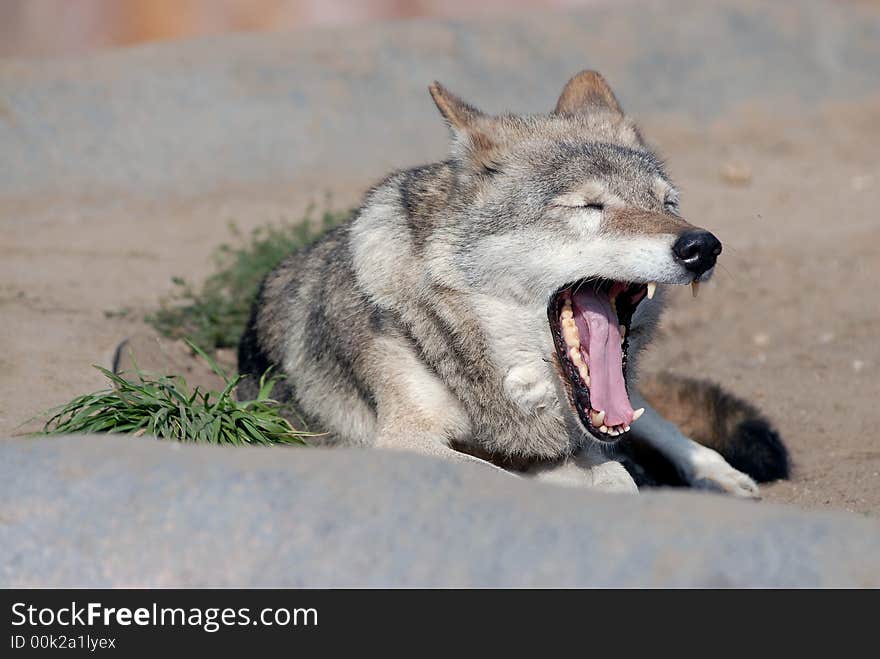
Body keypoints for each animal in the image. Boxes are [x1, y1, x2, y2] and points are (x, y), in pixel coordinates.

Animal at [237, 71, 788, 496]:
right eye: (589, 206)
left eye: (667, 204)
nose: (702, 247)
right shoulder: (401, 439)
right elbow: (518, 474)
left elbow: (614, 471)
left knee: (652, 417)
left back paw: (719, 474)